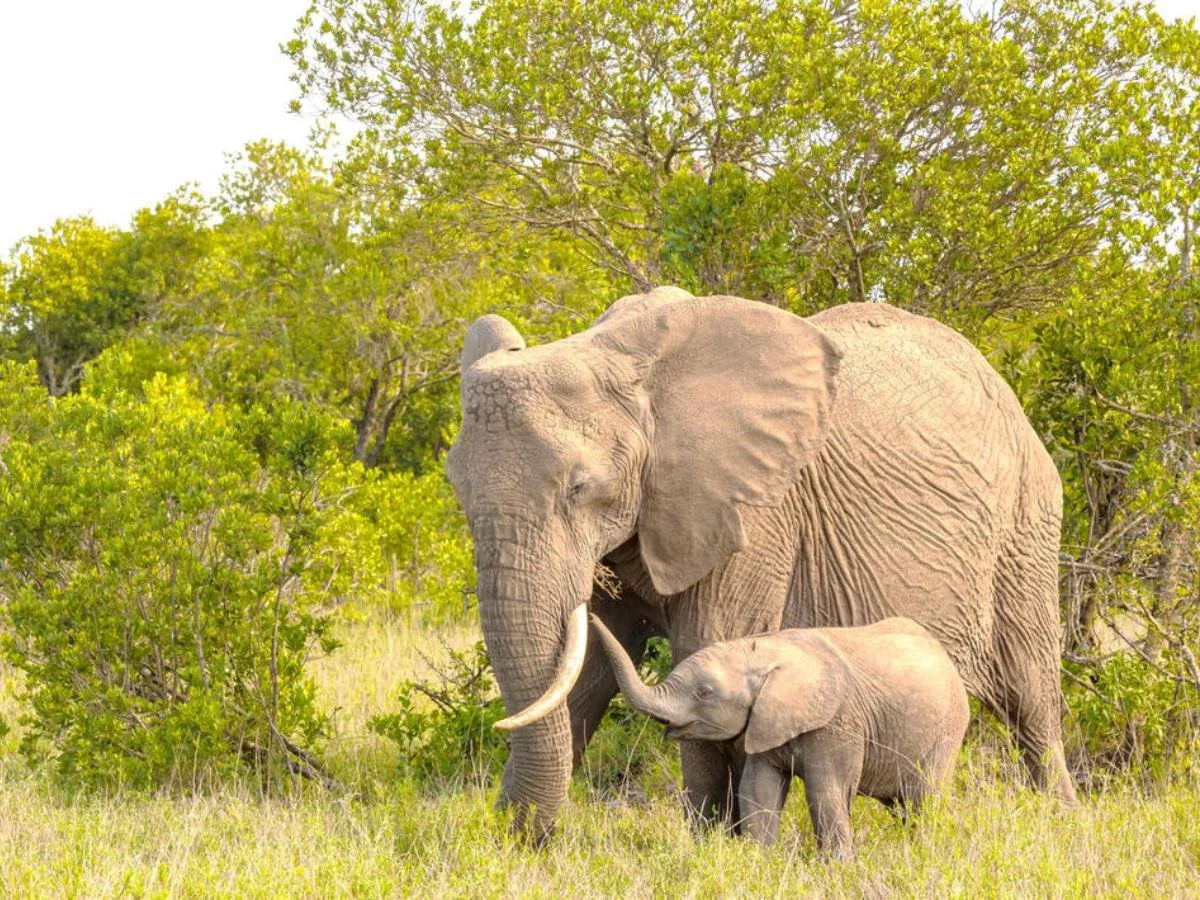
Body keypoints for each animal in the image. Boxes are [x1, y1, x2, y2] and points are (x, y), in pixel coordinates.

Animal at [590, 613, 970, 856]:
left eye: (704, 693)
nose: (591, 613)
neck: (762, 652)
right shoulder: (763, 721)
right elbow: (758, 790)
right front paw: (758, 864)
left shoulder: (837, 723)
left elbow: (826, 792)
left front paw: (836, 869)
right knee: (903, 804)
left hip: (947, 730)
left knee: (925, 798)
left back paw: (929, 852)